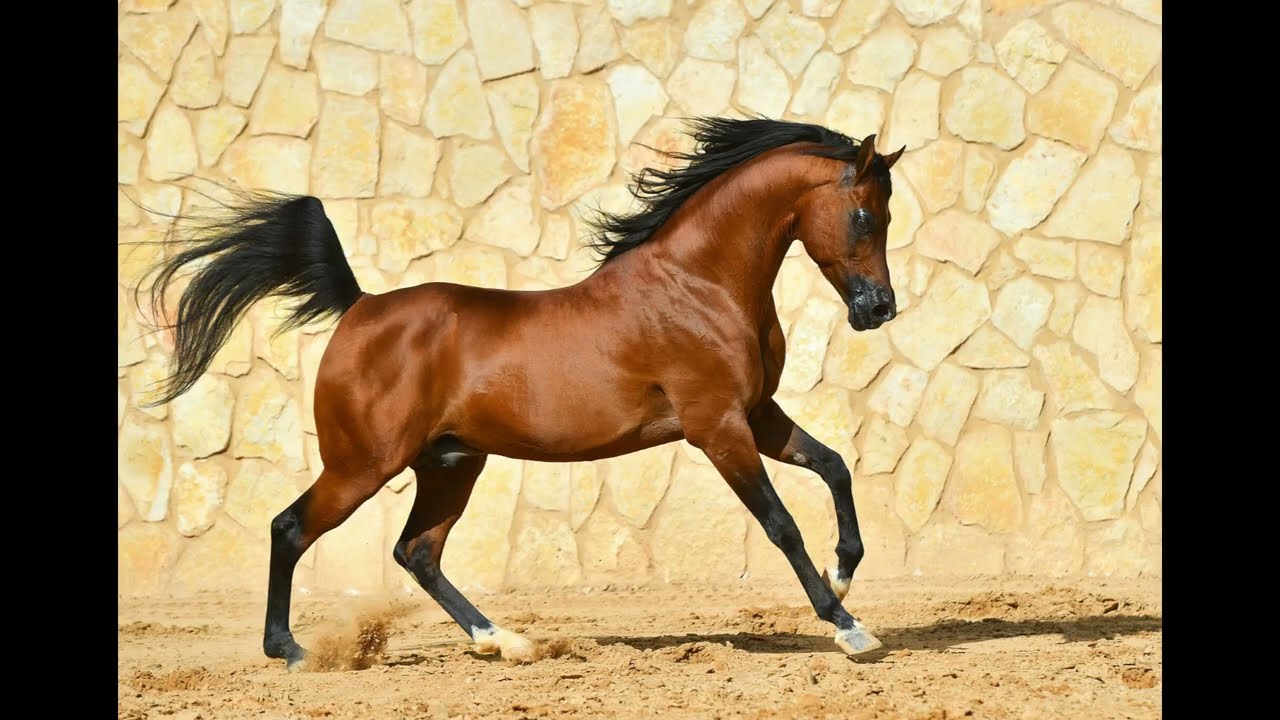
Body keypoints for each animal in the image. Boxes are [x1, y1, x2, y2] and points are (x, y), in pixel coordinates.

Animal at [137, 117, 905, 669]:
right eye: (866, 215)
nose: (878, 309)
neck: (699, 283)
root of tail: (361, 306)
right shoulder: (717, 427)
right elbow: (781, 523)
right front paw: (847, 626)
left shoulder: (757, 414)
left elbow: (834, 465)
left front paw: (843, 574)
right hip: (362, 466)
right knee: (291, 527)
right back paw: (292, 651)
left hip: (451, 464)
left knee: (417, 552)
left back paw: (503, 641)